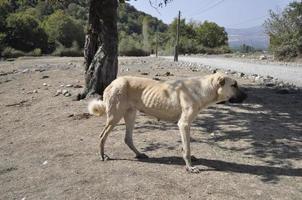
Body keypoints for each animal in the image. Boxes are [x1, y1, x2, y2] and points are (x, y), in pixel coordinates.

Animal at [88, 72, 248, 173]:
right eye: (234, 85)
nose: (247, 96)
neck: (203, 89)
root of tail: (112, 83)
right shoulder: (183, 124)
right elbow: (187, 149)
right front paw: (190, 167)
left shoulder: (184, 126)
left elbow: (185, 147)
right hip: (115, 117)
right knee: (102, 136)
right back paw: (103, 156)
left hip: (130, 115)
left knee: (127, 138)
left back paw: (139, 154)